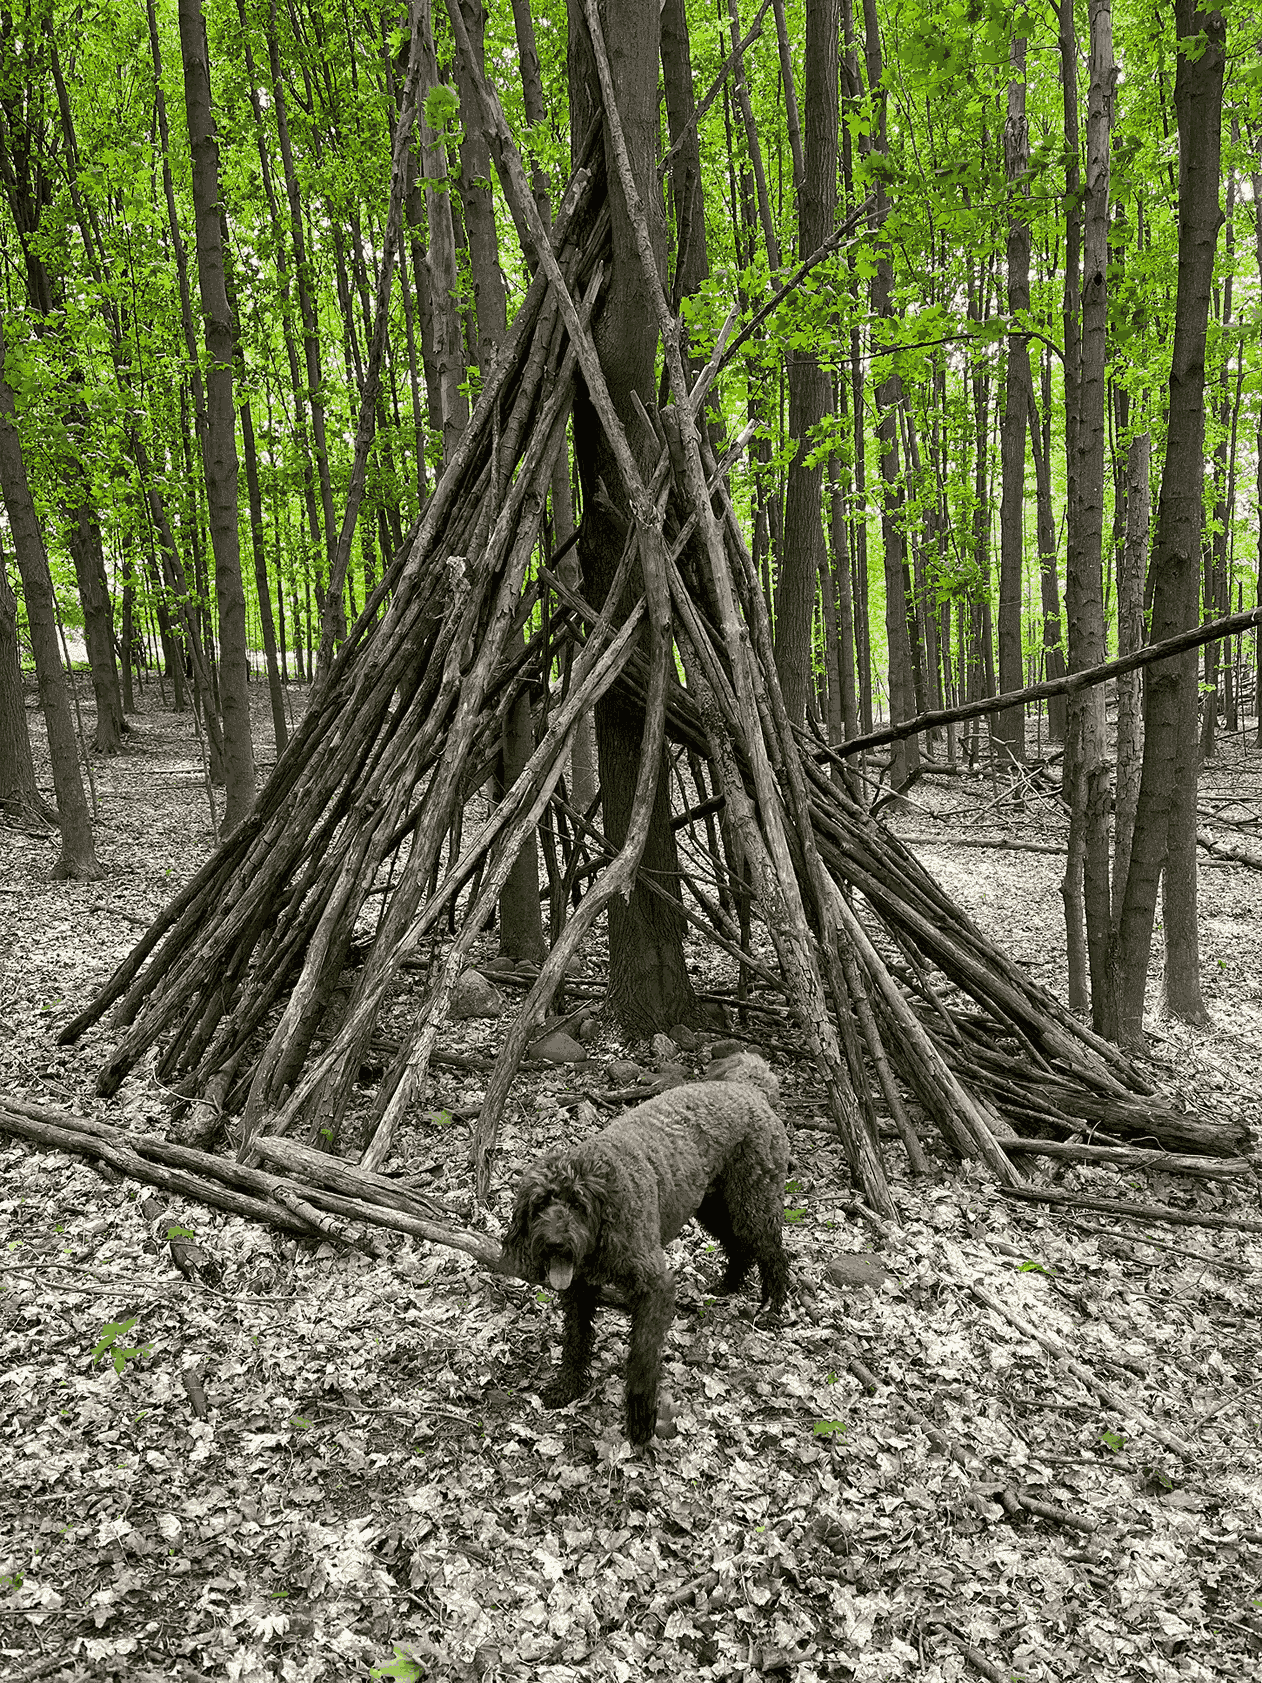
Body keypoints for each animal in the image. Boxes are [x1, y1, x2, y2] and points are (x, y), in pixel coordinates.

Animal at [504, 1056, 790, 1440]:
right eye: (540, 1205)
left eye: (578, 1205)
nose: (555, 1243)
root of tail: (751, 1088)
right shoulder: (579, 1288)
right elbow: (576, 1339)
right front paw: (568, 1386)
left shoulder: (654, 1287)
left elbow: (641, 1357)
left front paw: (640, 1419)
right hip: (713, 1205)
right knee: (740, 1247)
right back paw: (729, 1285)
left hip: (752, 1203)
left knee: (773, 1251)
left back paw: (774, 1304)